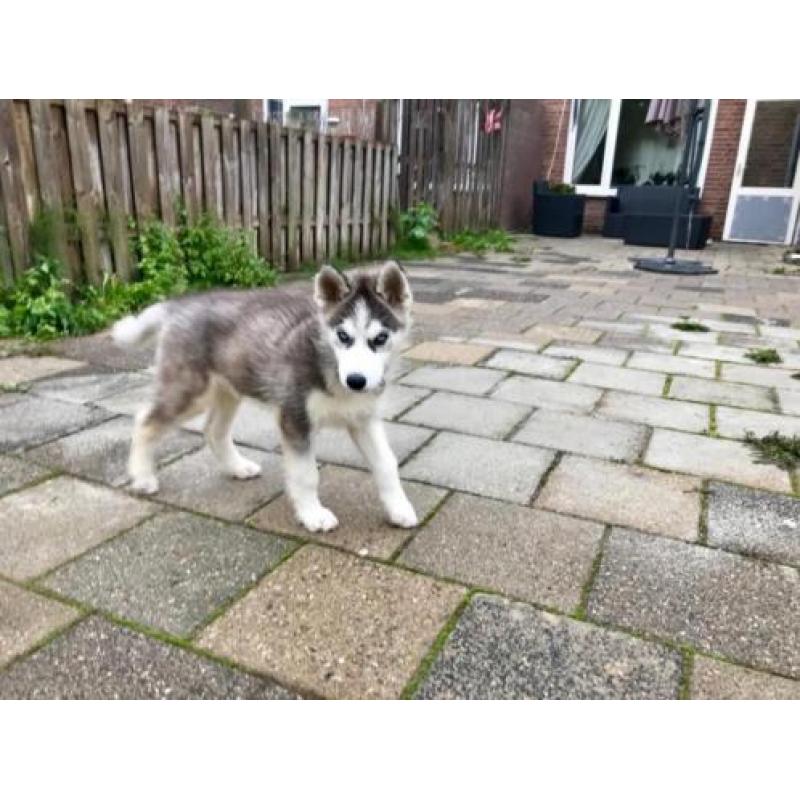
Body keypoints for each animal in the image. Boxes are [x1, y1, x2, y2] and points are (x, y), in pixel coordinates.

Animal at [112, 262, 418, 536]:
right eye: (343, 336)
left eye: (380, 338)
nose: (356, 380)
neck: (328, 363)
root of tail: (179, 305)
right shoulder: (294, 418)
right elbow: (306, 474)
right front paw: (313, 514)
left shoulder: (364, 419)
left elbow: (387, 463)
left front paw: (399, 508)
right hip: (190, 390)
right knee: (146, 420)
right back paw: (143, 477)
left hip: (228, 390)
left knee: (213, 430)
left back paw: (237, 467)